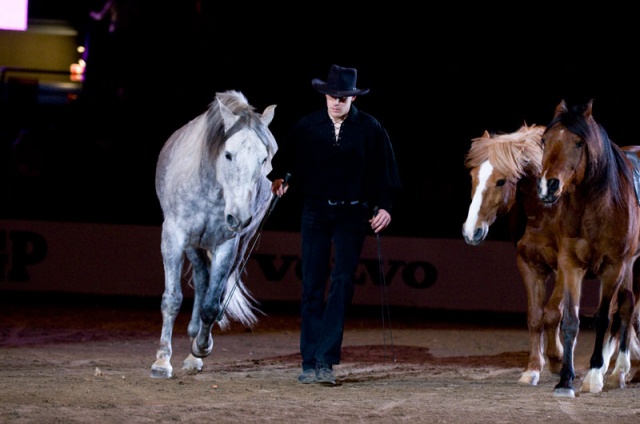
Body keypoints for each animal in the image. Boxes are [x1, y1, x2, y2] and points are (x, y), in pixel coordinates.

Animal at [150, 90, 278, 379]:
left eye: (263, 159)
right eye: (228, 154)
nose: (239, 217)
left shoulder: (227, 245)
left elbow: (211, 305)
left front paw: (201, 346)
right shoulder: (174, 238)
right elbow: (172, 299)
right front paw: (162, 362)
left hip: (237, 245)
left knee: (211, 289)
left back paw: (194, 351)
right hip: (193, 246)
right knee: (200, 278)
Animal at [462, 123, 566, 386]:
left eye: (500, 181)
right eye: (473, 177)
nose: (471, 231)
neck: (548, 212)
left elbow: (553, 313)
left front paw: (557, 359)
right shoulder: (529, 265)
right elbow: (536, 317)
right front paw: (533, 369)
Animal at [538, 99, 640, 397]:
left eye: (578, 143)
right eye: (544, 140)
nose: (548, 185)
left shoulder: (613, 267)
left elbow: (604, 318)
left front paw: (594, 375)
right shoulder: (571, 265)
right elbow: (571, 320)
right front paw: (565, 380)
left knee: (625, 309)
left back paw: (617, 369)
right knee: (627, 306)